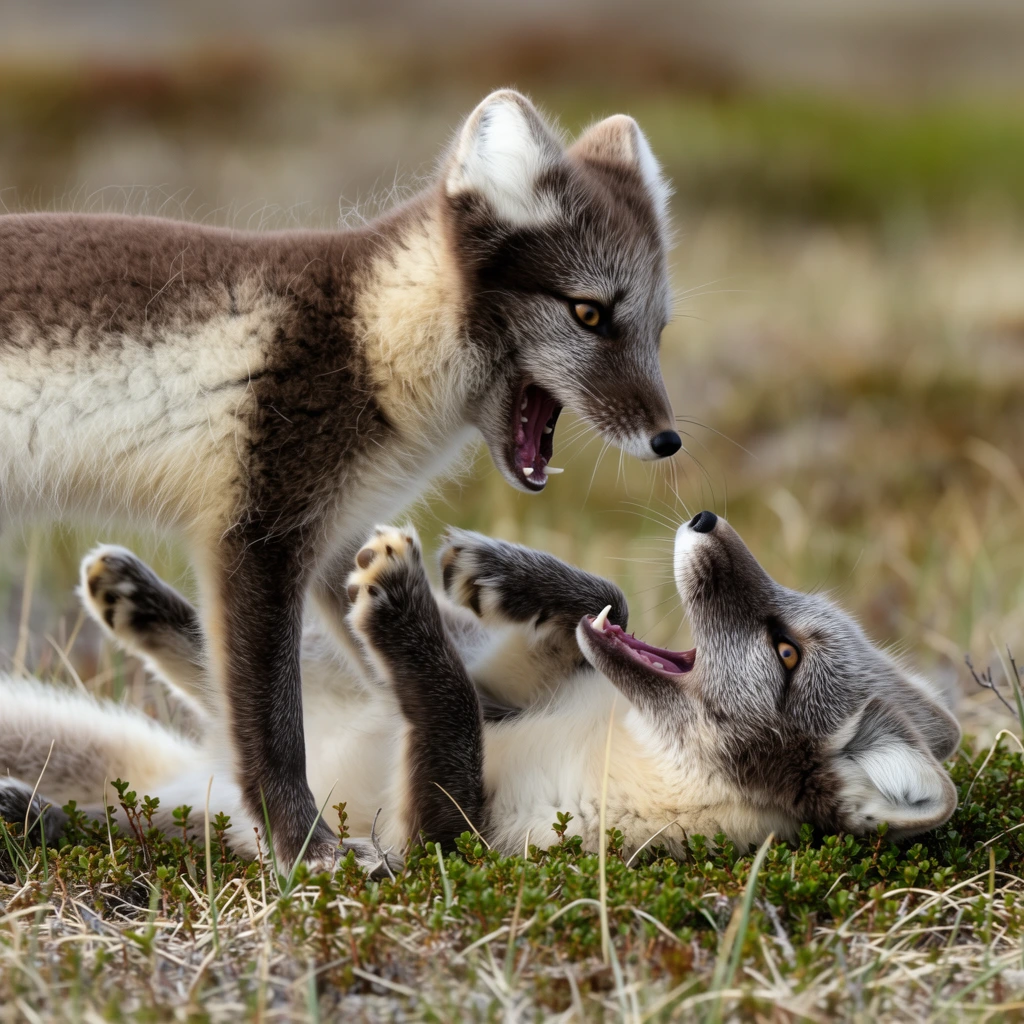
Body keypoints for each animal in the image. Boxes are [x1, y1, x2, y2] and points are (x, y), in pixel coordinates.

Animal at [0, 90, 683, 869]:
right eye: (589, 312)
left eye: (658, 328)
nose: (669, 441)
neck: (374, 340)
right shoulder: (260, 535)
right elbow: (273, 728)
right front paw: (309, 850)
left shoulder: (338, 547)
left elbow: (442, 671)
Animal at [0, 512, 960, 872]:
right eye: (793, 622)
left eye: (786, 651)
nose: (704, 518)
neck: (624, 753)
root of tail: (182, 787)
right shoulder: (514, 698)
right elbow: (604, 598)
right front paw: (499, 574)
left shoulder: (438, 843)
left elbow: (451, 713)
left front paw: (404, 603)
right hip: (329, 708)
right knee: (238, 665)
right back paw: (130, 594)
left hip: (229, 813)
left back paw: (28, 811)